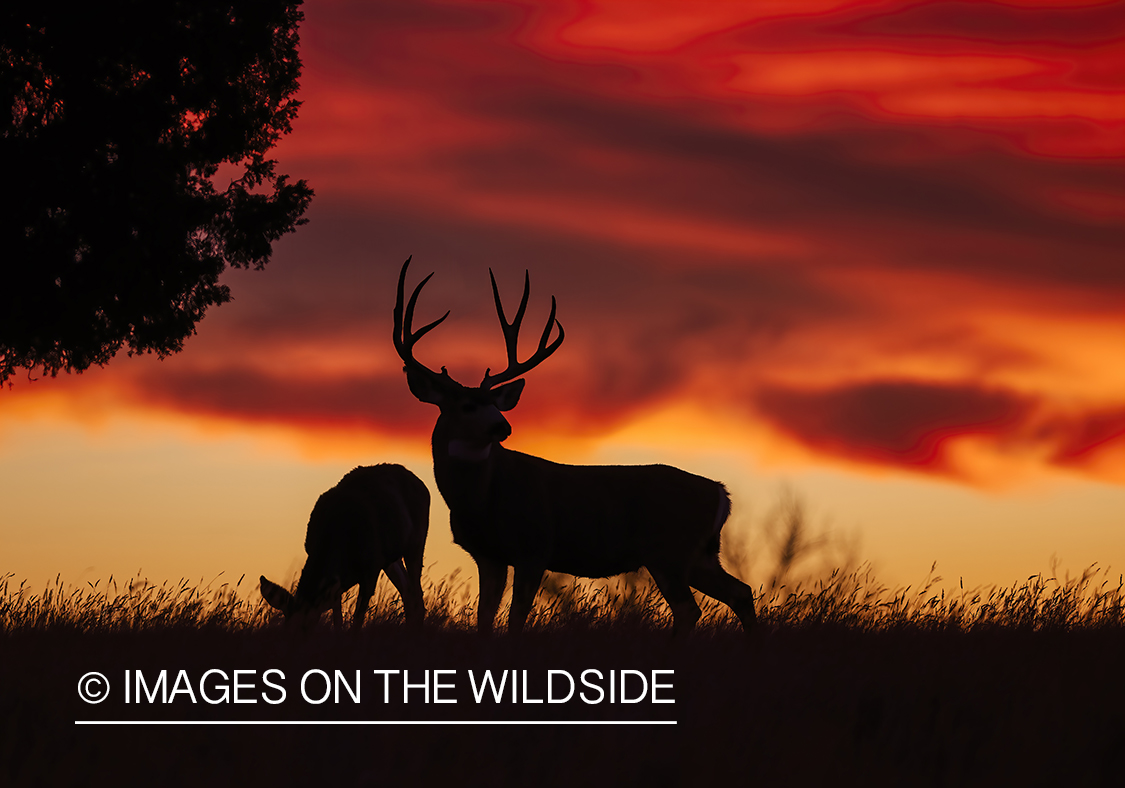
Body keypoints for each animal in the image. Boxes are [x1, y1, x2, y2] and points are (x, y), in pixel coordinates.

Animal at [258, 463, 429, 630]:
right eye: (285, 627)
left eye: (307, 627)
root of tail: (423, 486)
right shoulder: (337, 582)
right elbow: (337, 619)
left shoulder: (371, 569)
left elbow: (357, 620)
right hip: (390, 559)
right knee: (407, 591)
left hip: (416, 543)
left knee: (417, 594)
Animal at [396, 258, 756, 634]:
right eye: (467, 405)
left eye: (494, 402)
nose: (502, 426)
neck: (480, 499)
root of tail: (720, 492)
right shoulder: (488, 555)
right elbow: (485, 619)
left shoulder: (534, 547)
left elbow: (516, 618)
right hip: (699, 555)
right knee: (741, 592)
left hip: (669, 550)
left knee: (690, 609)